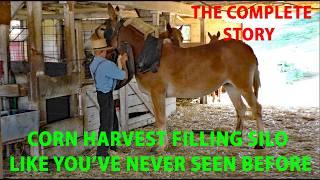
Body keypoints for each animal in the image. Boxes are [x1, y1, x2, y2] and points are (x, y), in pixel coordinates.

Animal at [105, 3, 262, 152]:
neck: (149, 56)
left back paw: (259, 144)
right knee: (241, 109)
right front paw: (159, 146)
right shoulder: (153, 95)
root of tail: (248, 48)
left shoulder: (157, 93)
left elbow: (161, 119)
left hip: (244, 87)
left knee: (256, 109)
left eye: (103, 29)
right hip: (231, 87)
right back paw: (235, 139)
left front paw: (161, 148)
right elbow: (159, 119)